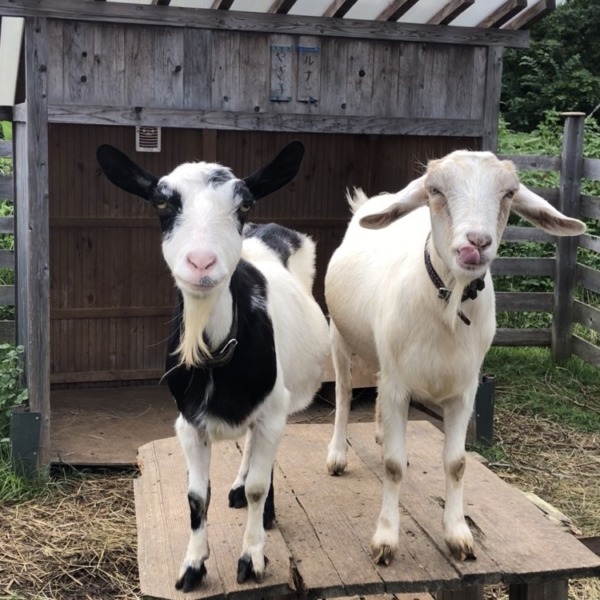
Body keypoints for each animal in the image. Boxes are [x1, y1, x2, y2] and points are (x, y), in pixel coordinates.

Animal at [96, 142, 330, 592]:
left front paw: (252, 558)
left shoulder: (273, 409)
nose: (202, 263)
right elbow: (195, 496)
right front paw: (192, 565)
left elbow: (258, 486)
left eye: (244, 203)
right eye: (162, 201)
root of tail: (274, 229)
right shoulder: (188, 422)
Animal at [324, 150, 585, 565]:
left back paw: (381, 433)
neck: (448, 301)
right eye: (435, 190)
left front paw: (458, 534)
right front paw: (385, 538)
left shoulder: (464, 391)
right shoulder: (399, 384)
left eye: (509, 193)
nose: (475, 243)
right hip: (339, 334)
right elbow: (392, 467)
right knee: (345, 392)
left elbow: (457, 463)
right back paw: (336, 455)